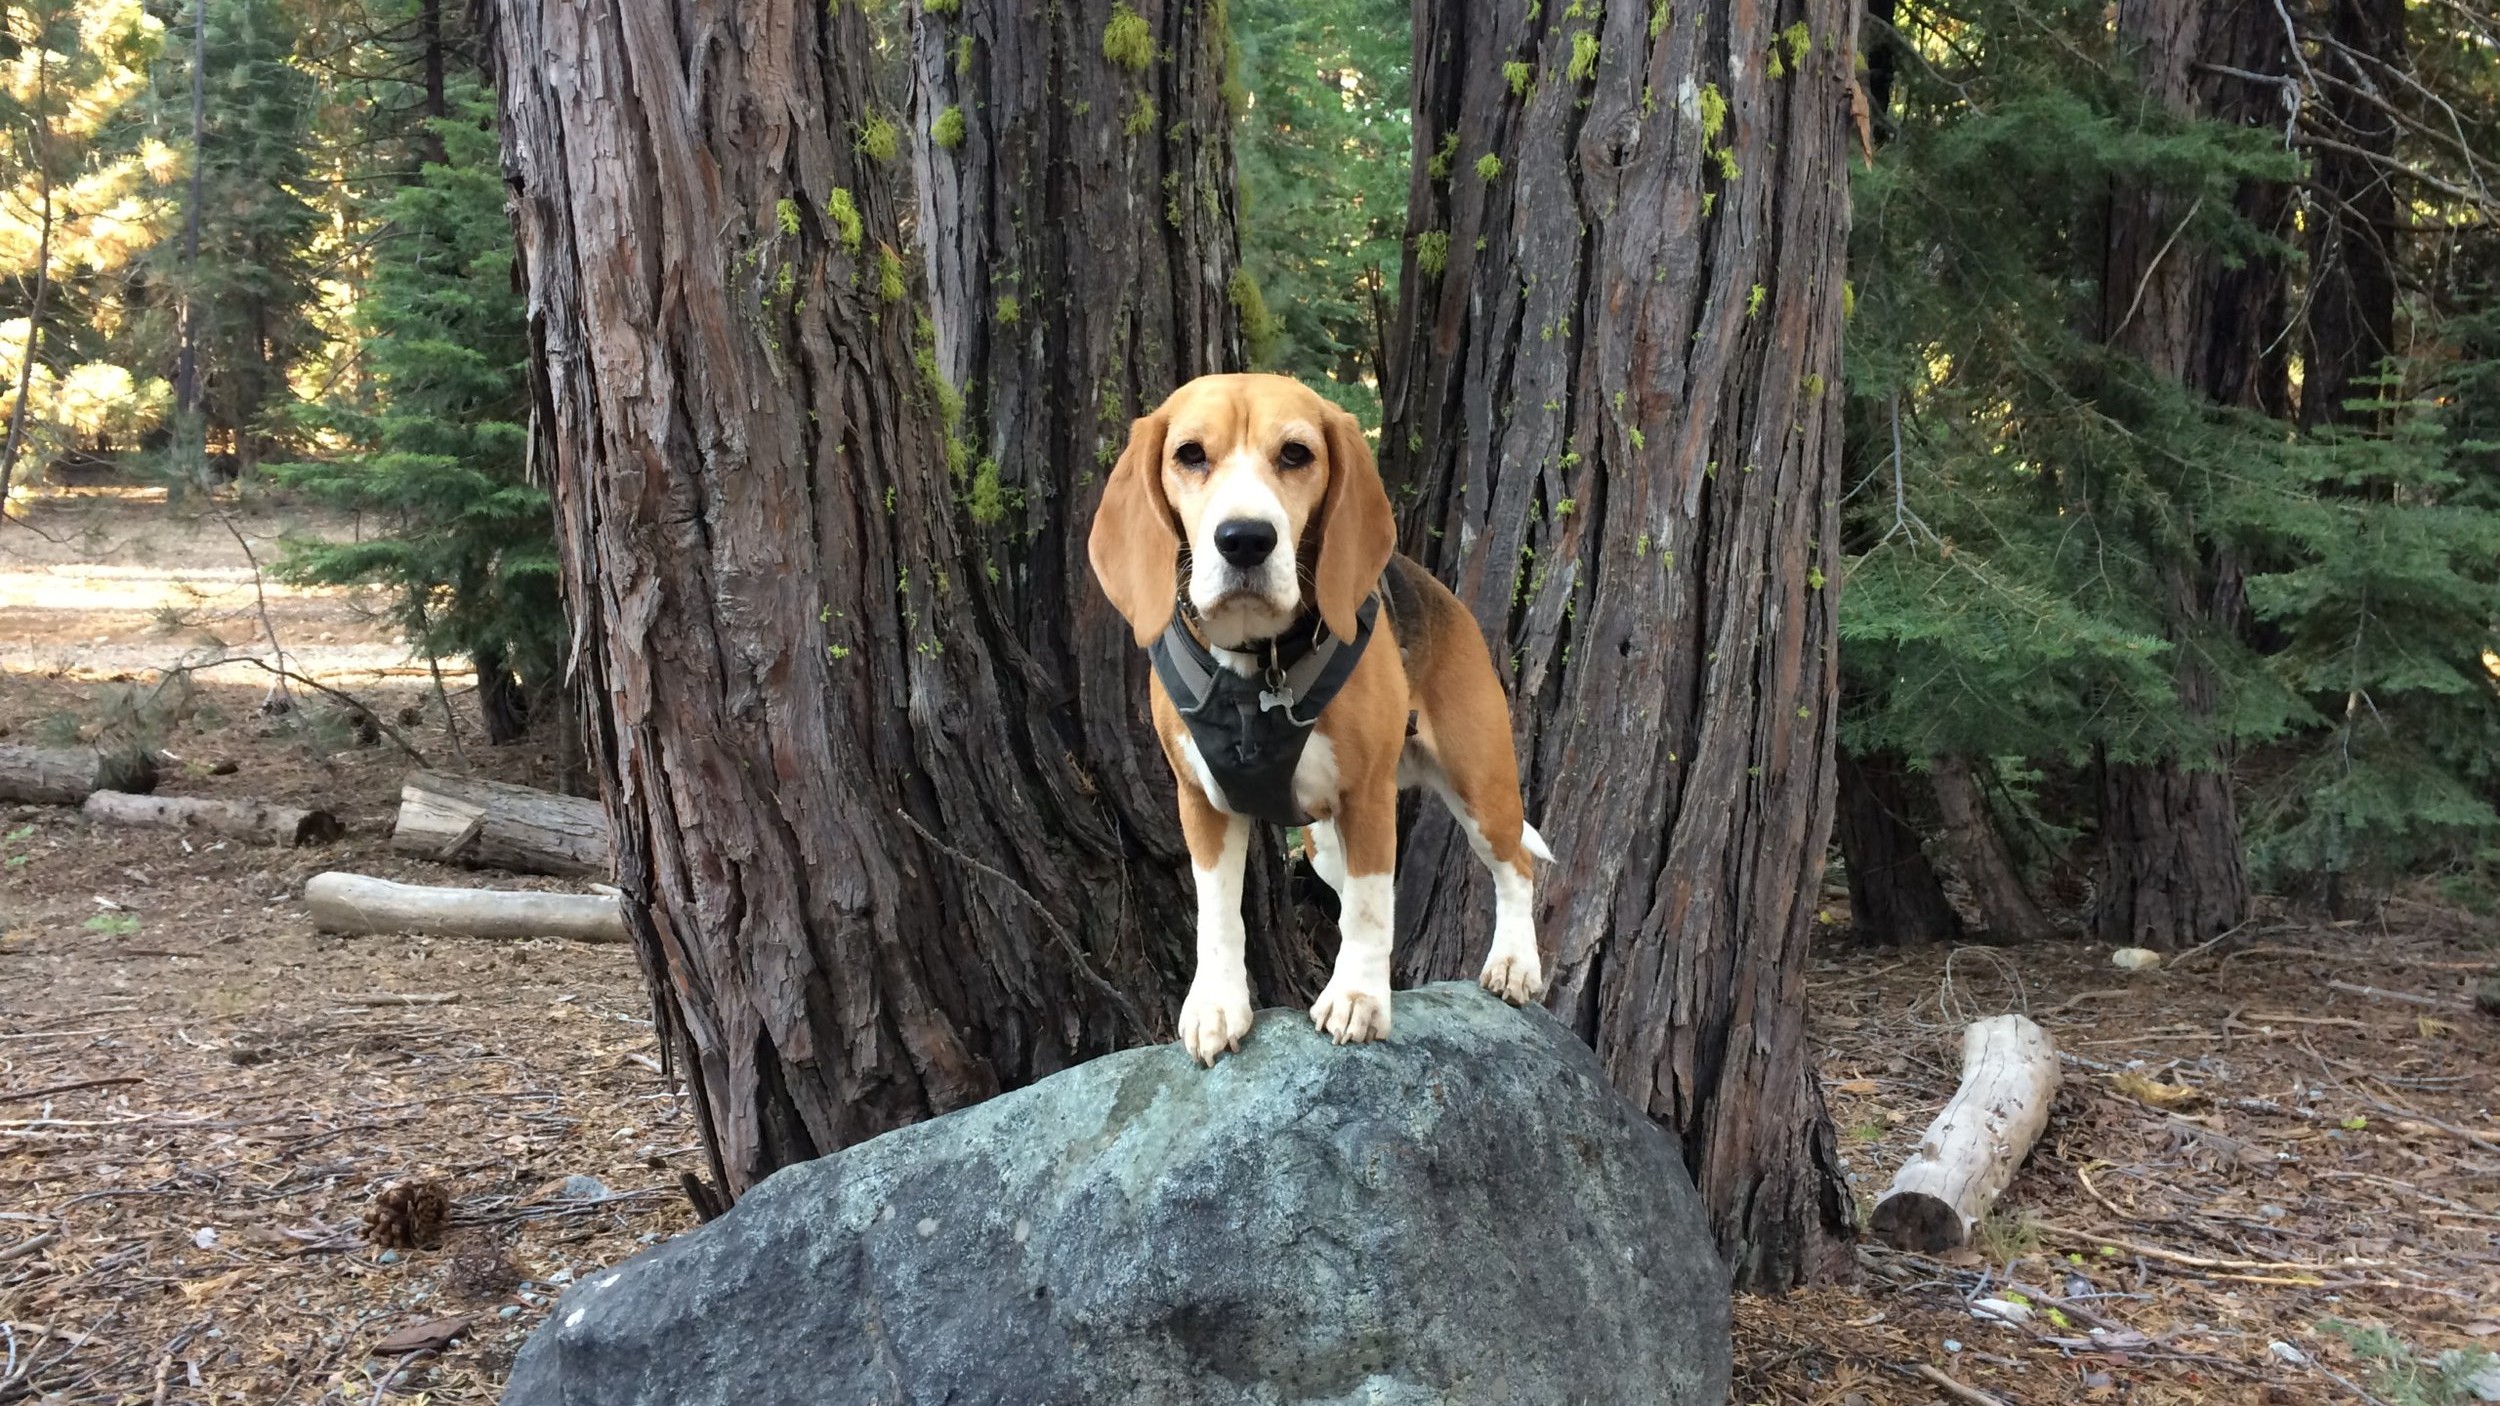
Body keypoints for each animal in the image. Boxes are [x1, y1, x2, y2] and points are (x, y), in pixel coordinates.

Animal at [1090, 372, 1550, 1060]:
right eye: (1190, 454)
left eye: (1296, 454)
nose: (1245, 539)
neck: (1257, 669)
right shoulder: (1199, 800)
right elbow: (1218, 912)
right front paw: (1217, 1002)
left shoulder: (1367, 797)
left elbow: (1368, 908)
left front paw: (1358, 997)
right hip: (1325, 842)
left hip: (1481, 787)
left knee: (1515, 865)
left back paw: (1516, 963)